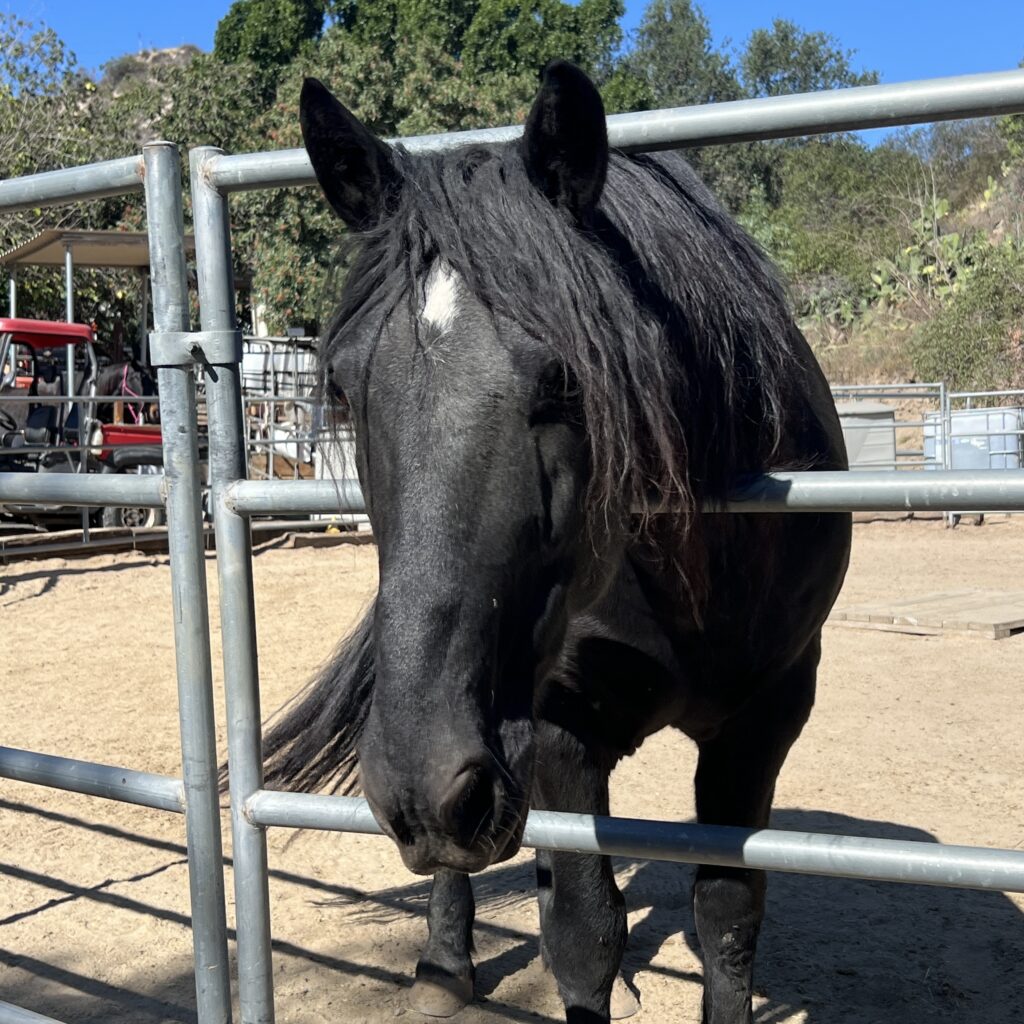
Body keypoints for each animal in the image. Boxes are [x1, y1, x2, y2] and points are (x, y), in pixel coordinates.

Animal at [259, 61, 852, 1024]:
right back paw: (443, 965)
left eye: (567, 381)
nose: (422, 788)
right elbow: (582, 935)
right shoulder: (558, 727)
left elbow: (728, 917)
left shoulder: (764, 720)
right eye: (342, 387)